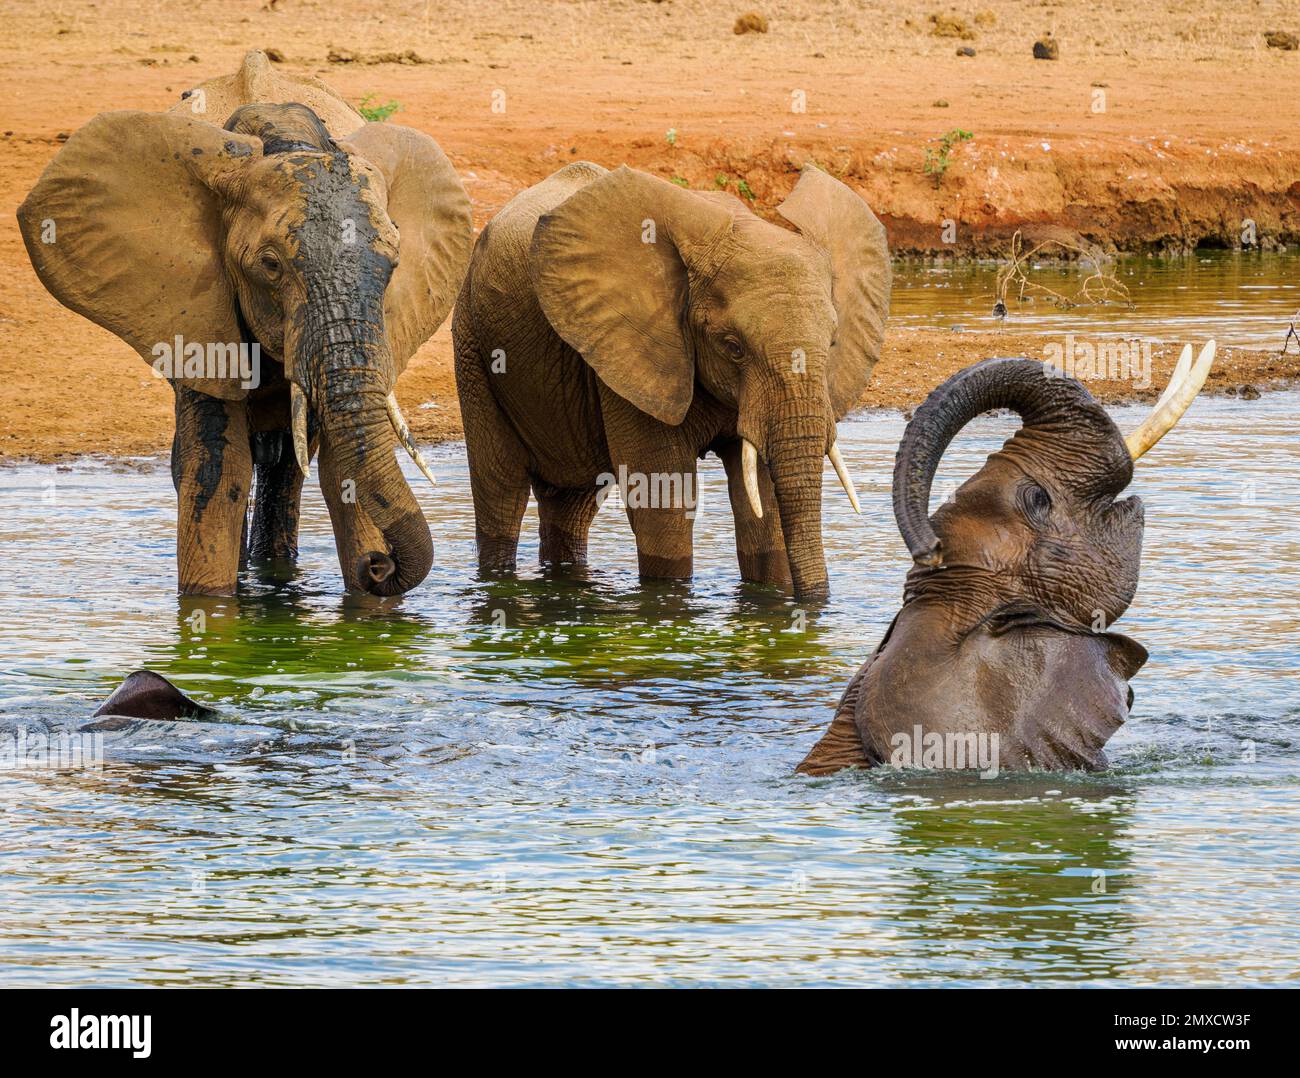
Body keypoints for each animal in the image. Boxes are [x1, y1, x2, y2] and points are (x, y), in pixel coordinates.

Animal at [17, 50, 475, 598]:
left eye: (393, 265)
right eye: (271, 266)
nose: (379, 565)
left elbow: (339, 468)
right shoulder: (198, 310)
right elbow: (217, 467)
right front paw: (213, 607)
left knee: (287, 462)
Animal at [452, 160, 889, 600]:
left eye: (832, 342)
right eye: (733, 347)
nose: (814, 605)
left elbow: (759, 506)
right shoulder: (631, 349)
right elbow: (663, 505)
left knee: (573, 504)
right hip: (473, 345)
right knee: (501, 490)